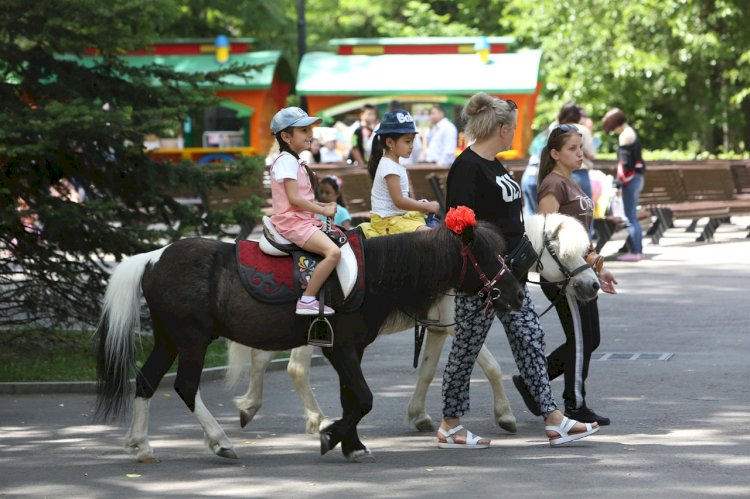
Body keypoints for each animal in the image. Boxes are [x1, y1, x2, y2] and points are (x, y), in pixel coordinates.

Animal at [95, 221, 528, 462]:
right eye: (484, 256)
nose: (518, 293)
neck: (375, 273)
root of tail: (152, 257)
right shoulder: (341, 349)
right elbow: (364, 398)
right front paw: (332, 436)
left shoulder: (350, 350)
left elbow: (352, 398)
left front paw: (352, 445)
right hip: (191, 340)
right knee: (185, 386)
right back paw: (219, 442)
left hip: (169, 339)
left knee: (147, 382)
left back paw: (141, 444)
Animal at [226, 213, 604, 436]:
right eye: (563, 252)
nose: (593, 285)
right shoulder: (455, 327)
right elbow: (493, 368)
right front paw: (505, 415)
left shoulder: (437, 329)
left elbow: (427, 371)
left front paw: (419, 415)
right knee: (295, 369)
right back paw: (316, 420)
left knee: (261, 359)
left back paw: (249, 406)